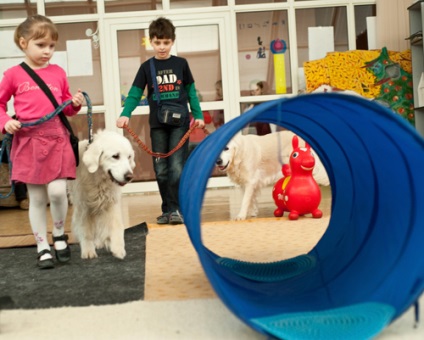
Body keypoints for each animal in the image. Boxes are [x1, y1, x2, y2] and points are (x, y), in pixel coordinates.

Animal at [68, 130, 135, 260]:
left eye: (129, 157)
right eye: (115, 156)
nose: (129, 176)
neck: (98, 178)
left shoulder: (110, 202)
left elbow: (116, 226)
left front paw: (118, 248)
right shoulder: (84, 207)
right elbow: (86, 231)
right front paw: (88, 250)